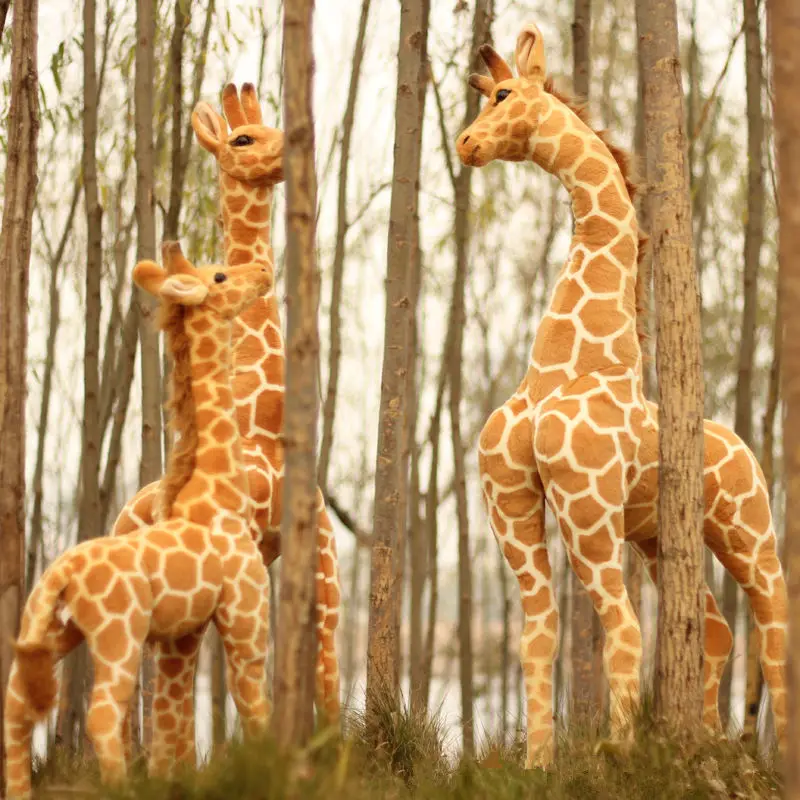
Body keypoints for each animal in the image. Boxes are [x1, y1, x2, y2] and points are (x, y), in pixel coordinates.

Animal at [4, 243, 272, 798]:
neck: (219, 491)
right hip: (118, 633)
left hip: (59, 630)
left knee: (17, 701)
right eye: (219, 275)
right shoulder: (246, 612)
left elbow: (173, 717)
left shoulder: (181, 631)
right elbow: (252, 702)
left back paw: (18, 790)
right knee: (102, 714)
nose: (262, 270)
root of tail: (60, 574)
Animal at [108, 85, 340, 768]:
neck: (262, 421)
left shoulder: (300, 541)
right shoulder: (281, 544)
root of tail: (118, 518)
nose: (296, 151)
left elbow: (317, 663)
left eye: (269, 124)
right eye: (242, 138)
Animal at [455, 22, 787, 767]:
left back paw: (779, 756)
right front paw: (538, 764)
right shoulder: (510, 498)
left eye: (503, 93)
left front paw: (618, 751)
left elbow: (625, 629)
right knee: (718, 629)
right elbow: (538, 637)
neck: (564, 366)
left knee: (777, 618)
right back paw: (712, 740)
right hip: (662, 540)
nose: (465, 144)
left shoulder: (585, 500)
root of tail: (748, 450)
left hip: (748, 529)